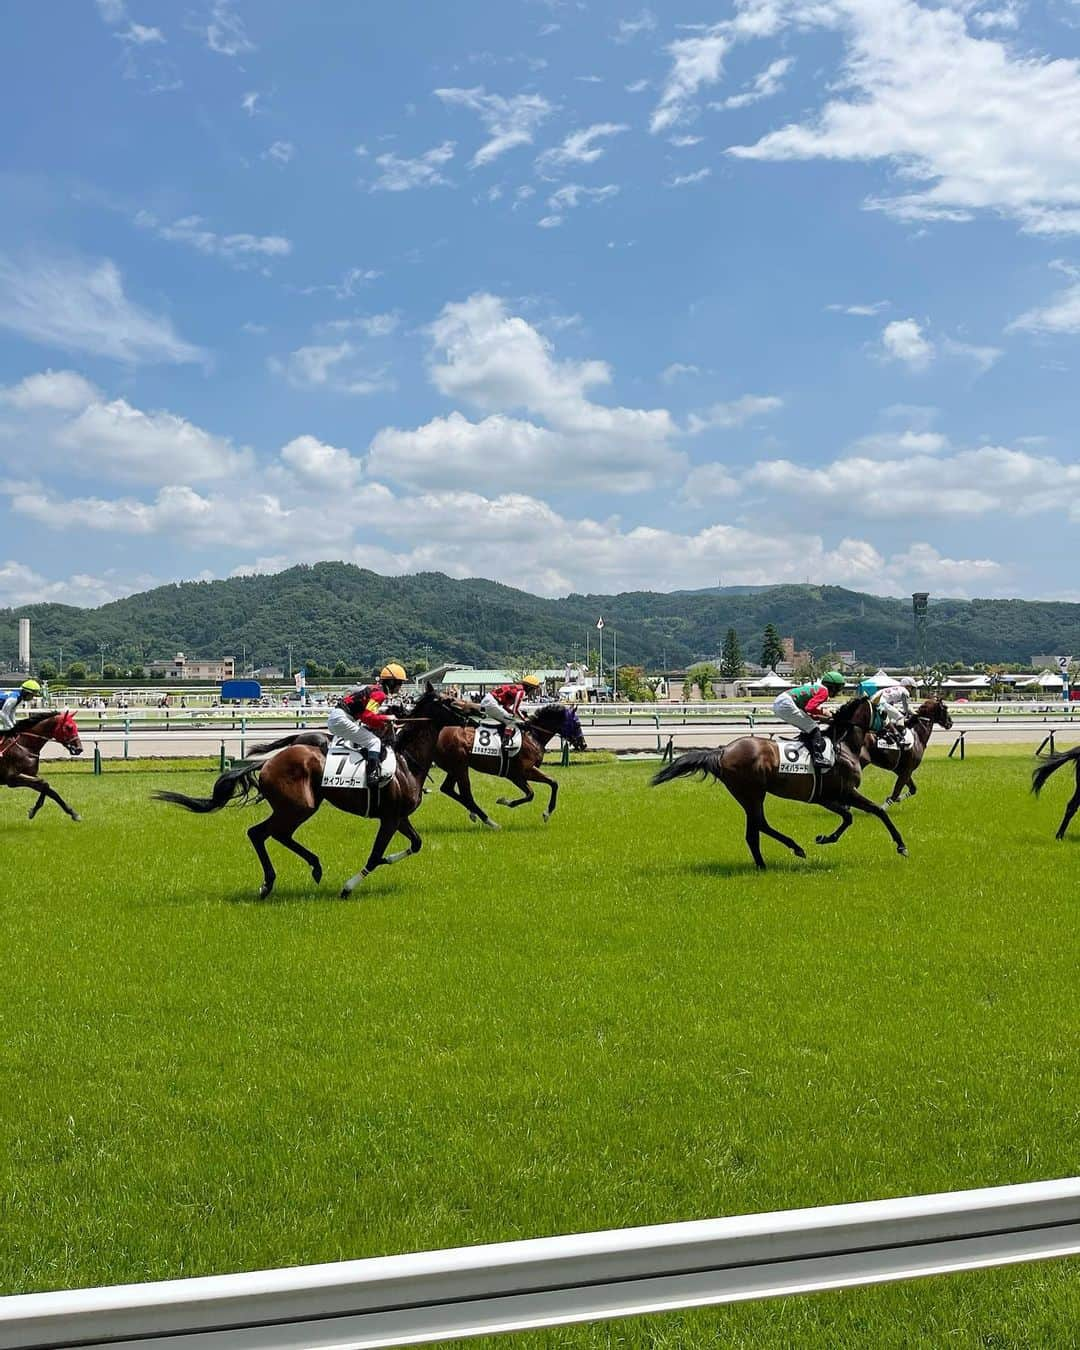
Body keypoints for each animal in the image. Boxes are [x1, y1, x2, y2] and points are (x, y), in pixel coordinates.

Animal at [153, 685, 467, 896]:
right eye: (450, 700)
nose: (471, 717)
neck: (406, 761)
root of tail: (267, 763)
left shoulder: (399, 817)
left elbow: (416, 843)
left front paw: (388, 860)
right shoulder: (389, 818)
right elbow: (375, 855)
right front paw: (348, 887)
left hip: (295, 808)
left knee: (271, 834)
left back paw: (302, 870)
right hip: (298, 807)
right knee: (262, 833)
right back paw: (279, 879)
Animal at [432, 702, 591, 826]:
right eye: (578, 724)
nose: (583, 744)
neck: (533, 736)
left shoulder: (525, 772)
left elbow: (552, 783)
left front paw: (546, 813)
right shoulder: (518, 773)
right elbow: (532, 793)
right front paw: (505, 801)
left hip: (455, 767)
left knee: (447, 789)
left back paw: (474, 814)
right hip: (460, 767)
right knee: (464, 793)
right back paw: (486, 819)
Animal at [650, 696, 912, 874]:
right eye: (883, 712)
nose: (898, 733)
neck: (844, 746)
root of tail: (723, 750)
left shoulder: (825, 797)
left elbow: (848, 817)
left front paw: (824, 838)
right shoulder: (845, 791)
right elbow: (876, 811)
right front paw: (901, 846)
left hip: (749, 794)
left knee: (753, 831)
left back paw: (763, 864)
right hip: (752, 793)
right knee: (759, 825)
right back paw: (795, 848)